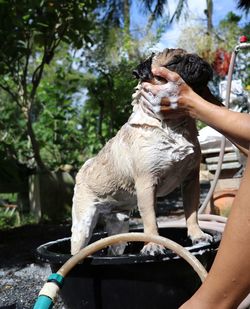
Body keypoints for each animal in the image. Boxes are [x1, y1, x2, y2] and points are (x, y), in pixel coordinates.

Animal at [71, 48, 215, 255]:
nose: (196, 59)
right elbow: (150, 220)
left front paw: (197, 235)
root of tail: (84, 167)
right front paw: (153, 244)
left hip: (119, 225)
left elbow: (191, 212)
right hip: (82, 226)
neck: (174, 125)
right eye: (174, 63)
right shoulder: (146, 184)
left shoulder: (191, 181)